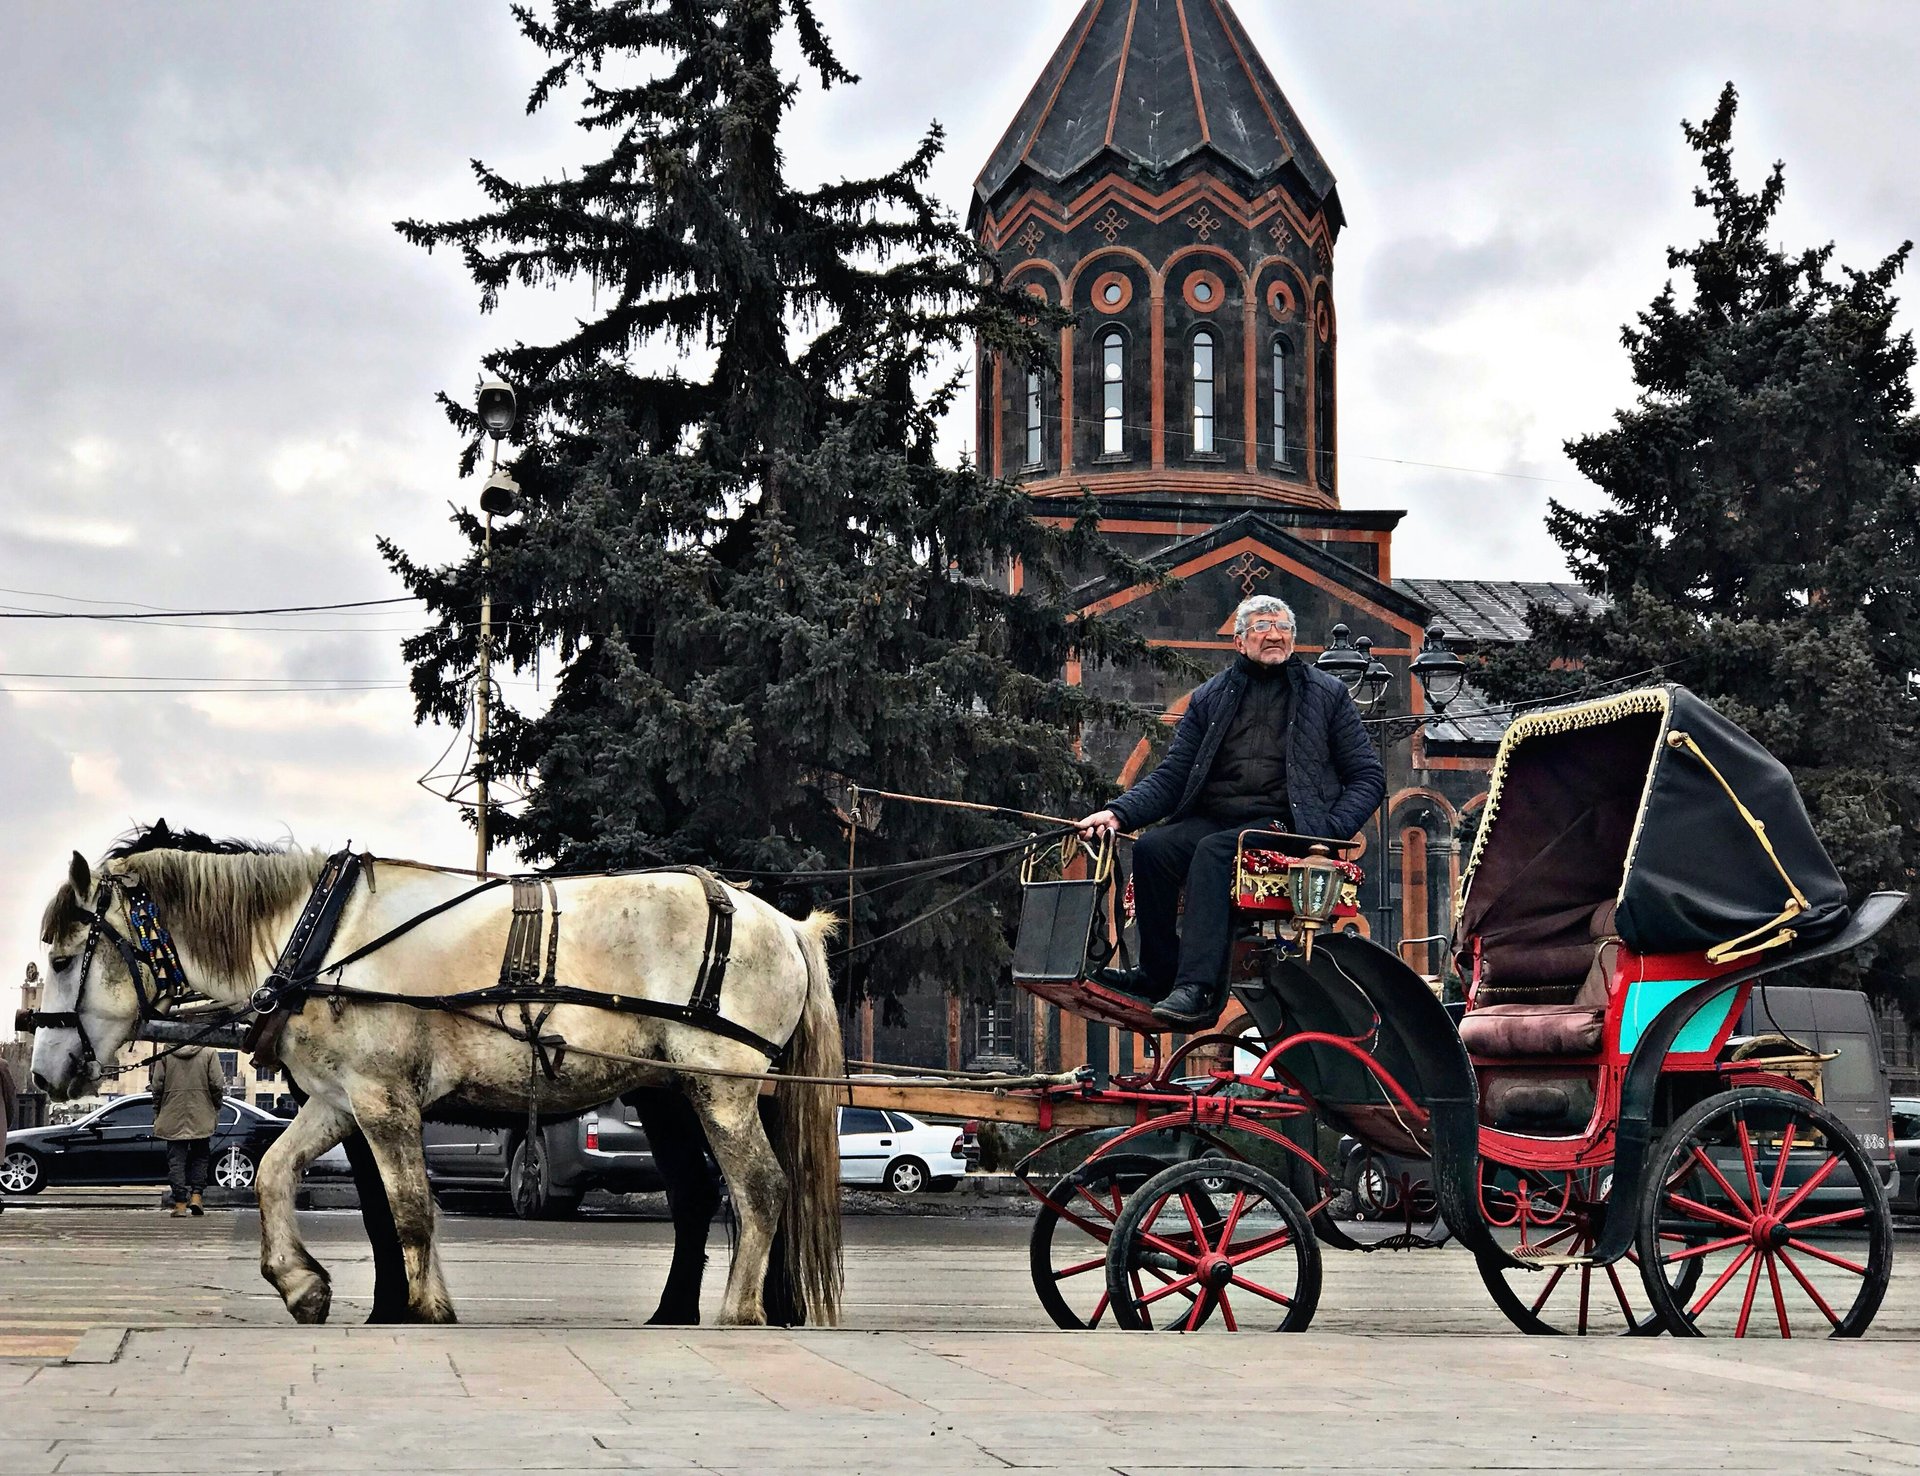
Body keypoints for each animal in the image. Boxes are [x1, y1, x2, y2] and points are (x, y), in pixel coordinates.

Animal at [30, 829, 840, 1320]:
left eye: (66, 958)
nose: (43, 1075)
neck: (321, 936)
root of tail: (784, 924)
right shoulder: (339, 1099)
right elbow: (273, 1173)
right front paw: (301, 1283)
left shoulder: (384, 1100)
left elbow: (409, 1207)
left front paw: (421, 1306)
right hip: (675, 1092)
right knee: (705, 1194)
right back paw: (684, 1311)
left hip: (720, 1086)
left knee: (759, 1188)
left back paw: (739, 1311)